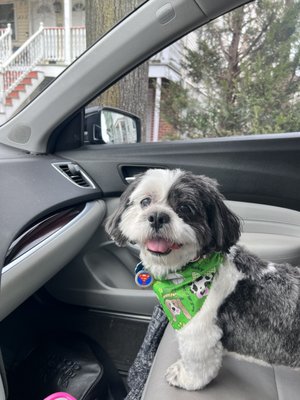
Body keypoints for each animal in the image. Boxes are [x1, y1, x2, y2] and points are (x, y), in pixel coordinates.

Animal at [105, 169, 300, 390]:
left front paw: (183, 377)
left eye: (185, 207)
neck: (190, 274)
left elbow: (197, 367)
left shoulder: (198, 335)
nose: (157, 216)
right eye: (145, 201)